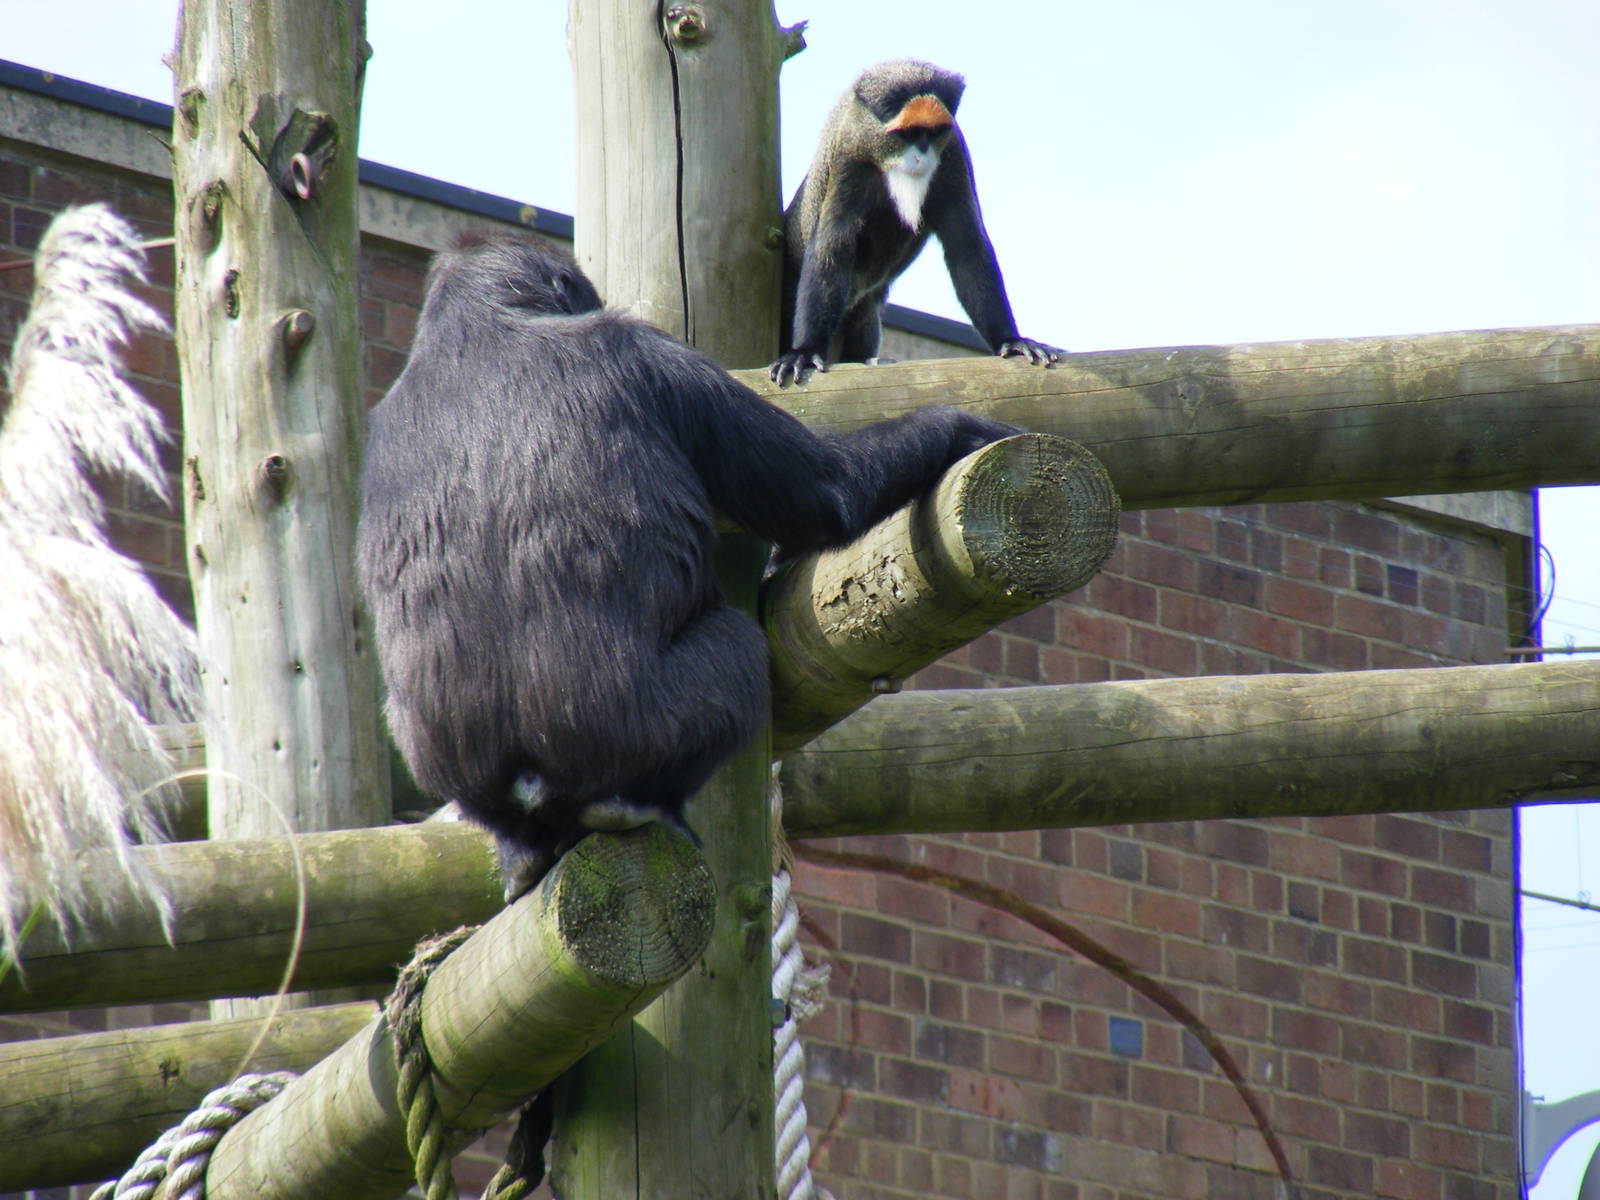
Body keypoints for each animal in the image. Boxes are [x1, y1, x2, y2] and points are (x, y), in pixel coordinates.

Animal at [357, 234, 1021, 899]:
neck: (478, 330)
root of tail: (529, 774)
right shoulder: (655, 356)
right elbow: (827, 492)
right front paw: (959, 425)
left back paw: (522, 855)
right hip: (632, 732)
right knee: (739, 645)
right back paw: (636, 805)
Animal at [769, 59, 1059, 387]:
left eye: (932, 133)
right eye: (907, 134)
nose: (921, 156)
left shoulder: (953, 154)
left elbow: (966, 245)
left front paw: (1011, 340)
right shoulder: (850, 156)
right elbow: (832, 246)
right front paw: (804, 352)